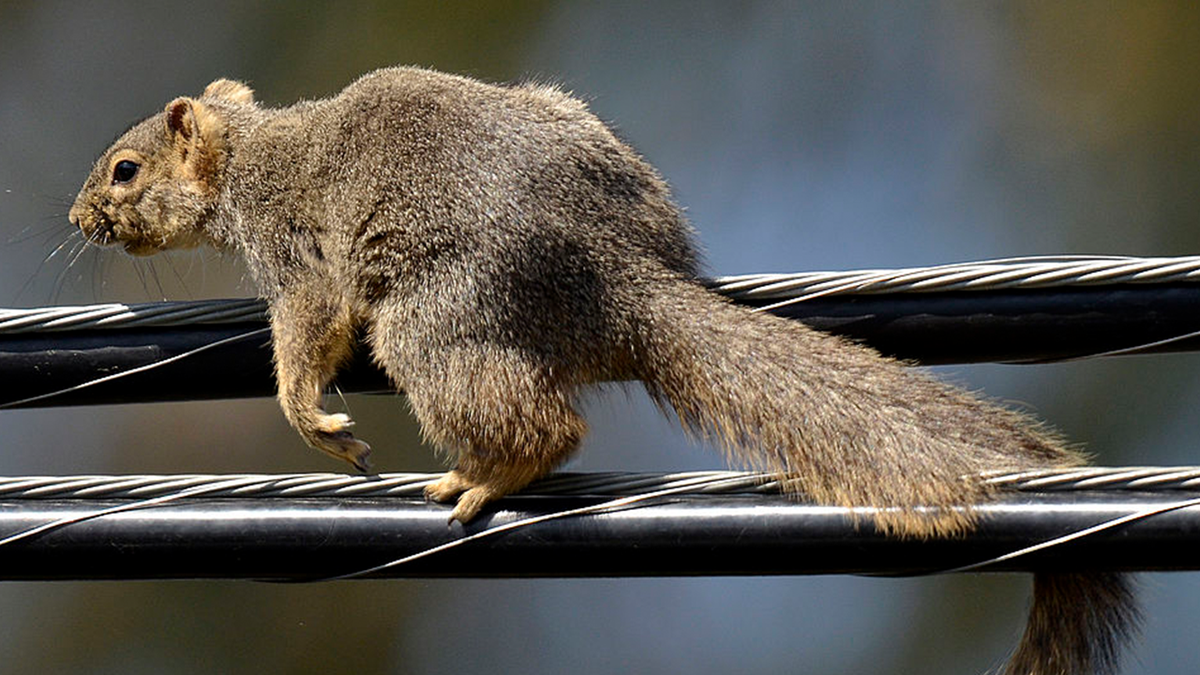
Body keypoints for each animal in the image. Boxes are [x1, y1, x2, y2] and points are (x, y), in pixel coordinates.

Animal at [70, 66, 1137, 672]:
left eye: (124, 170)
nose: (80, 219)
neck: (250, 155)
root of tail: (619, 277)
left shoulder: (297, 252)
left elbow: (308, 330)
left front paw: (312, 417)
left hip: (438, 315)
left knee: (546, 424)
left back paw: (486, 473)